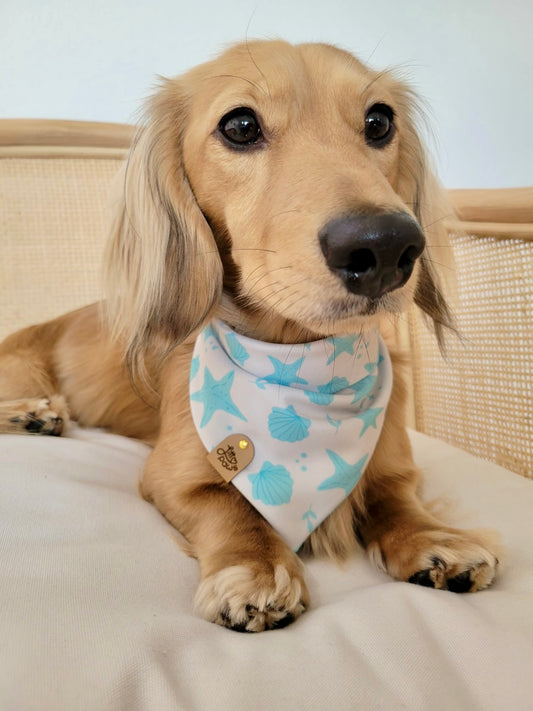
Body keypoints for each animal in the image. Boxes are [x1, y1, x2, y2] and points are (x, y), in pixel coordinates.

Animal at [0, 39, 498, 632]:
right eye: (240, 126)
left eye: (380, 121)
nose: (385, 246)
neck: (301, 364)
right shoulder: (170, 475)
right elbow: (230, 505)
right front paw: (255, 568)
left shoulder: (396, 464)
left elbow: (396, 498)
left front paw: (435, 539)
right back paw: (30, 414)